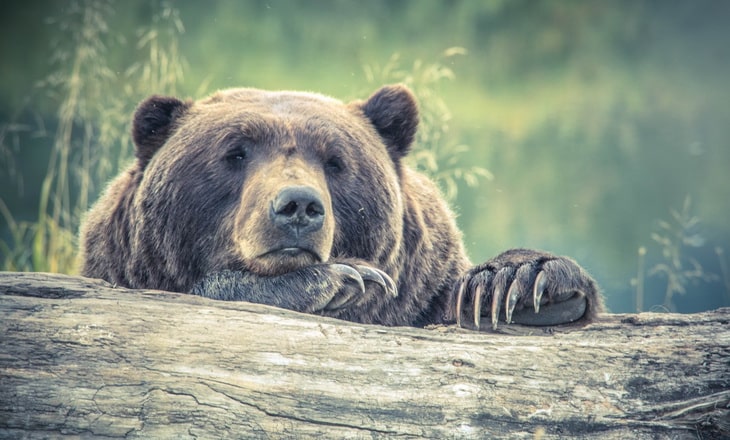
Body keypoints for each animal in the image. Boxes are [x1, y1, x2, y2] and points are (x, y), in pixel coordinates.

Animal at [81, 83, 604, 330]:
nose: (298, 205)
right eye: (235, 152)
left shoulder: (423, 289)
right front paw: (342, 279)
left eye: (335, 160)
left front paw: (517, 284)